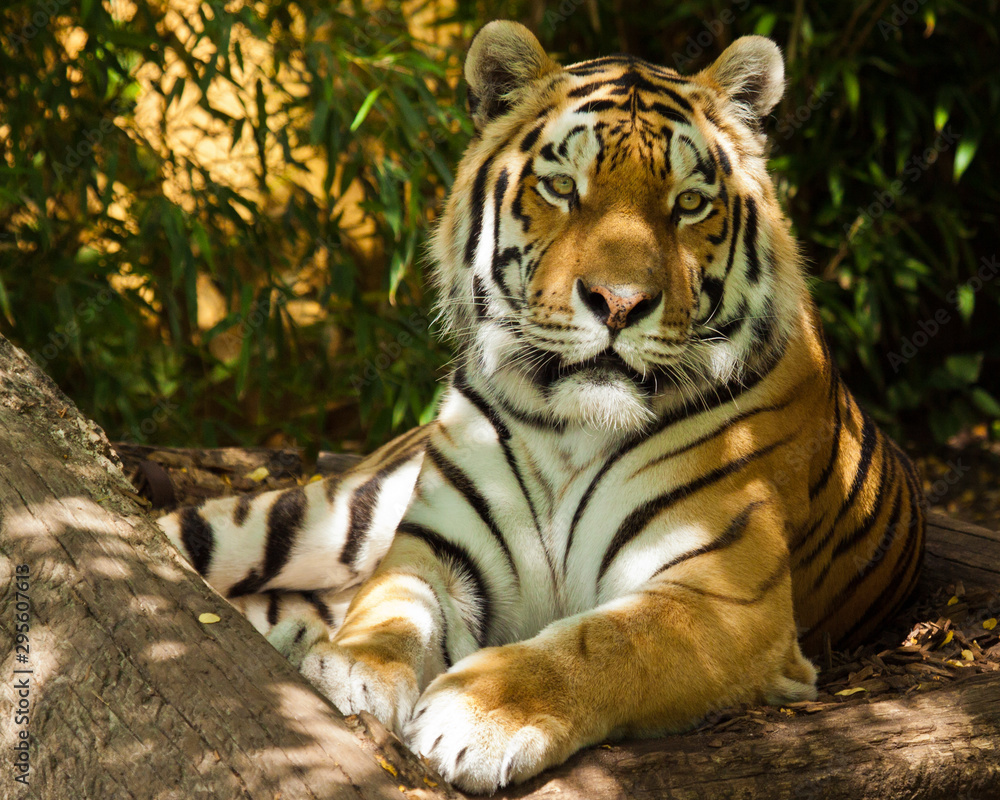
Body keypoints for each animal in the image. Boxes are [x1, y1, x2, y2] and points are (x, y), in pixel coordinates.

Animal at [158, 20, 926, 793]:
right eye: (562, 188)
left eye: (688, 203)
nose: (619, 302)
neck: (570, 428)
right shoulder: (436, 548)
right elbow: (393, 606)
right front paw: (352, 670)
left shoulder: (726, 597)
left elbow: (607, 640)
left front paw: (478, 715)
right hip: (315, 515)